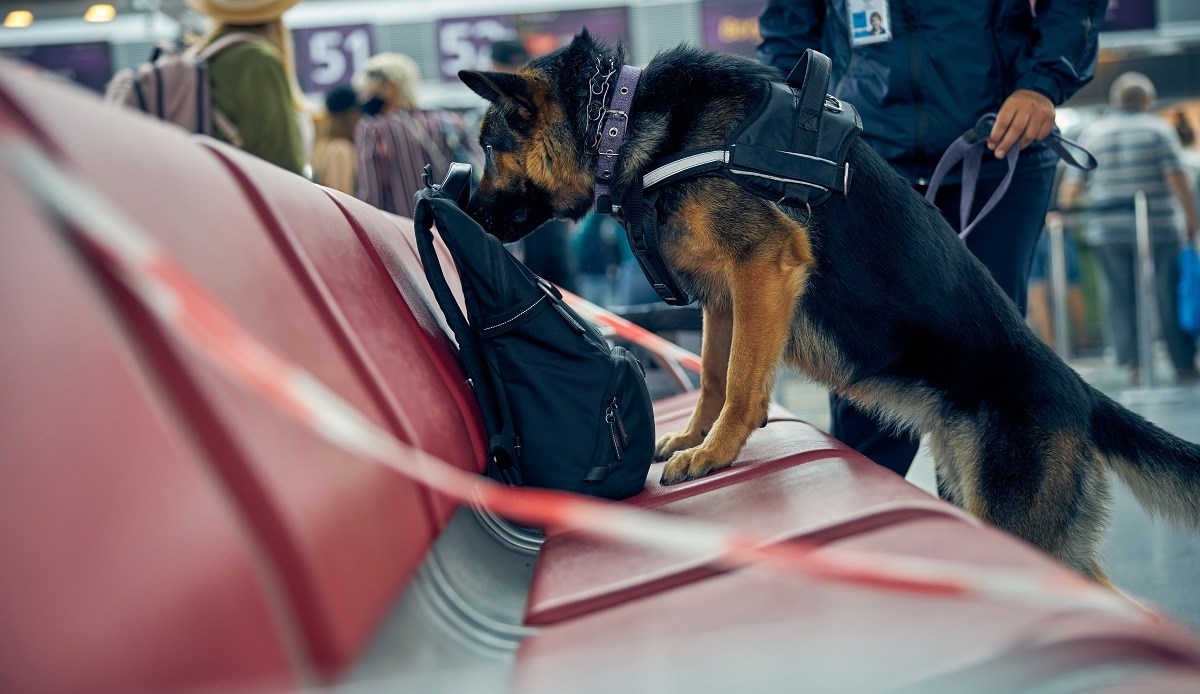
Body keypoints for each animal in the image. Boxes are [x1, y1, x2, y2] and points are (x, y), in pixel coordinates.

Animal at [458, 29, 1200, 576]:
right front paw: (696, 437)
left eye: (489, 146)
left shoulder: (765, 265)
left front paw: (718, 451)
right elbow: (714, 374)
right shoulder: (723, 296)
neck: (620, 117)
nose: (459, 203)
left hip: (1016, 522)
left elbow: (742, 381)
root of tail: (1079, 391)